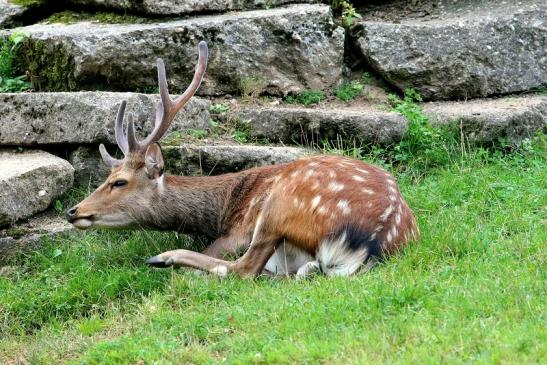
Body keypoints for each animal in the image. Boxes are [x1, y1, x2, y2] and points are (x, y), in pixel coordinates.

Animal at [67, 41, 420, 278]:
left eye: (119, 182)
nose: (73, 211)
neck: (222, 210)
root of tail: (373, 242)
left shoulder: (236, 233)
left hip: (279, 204)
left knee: (244, 269)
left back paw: (165, 257)